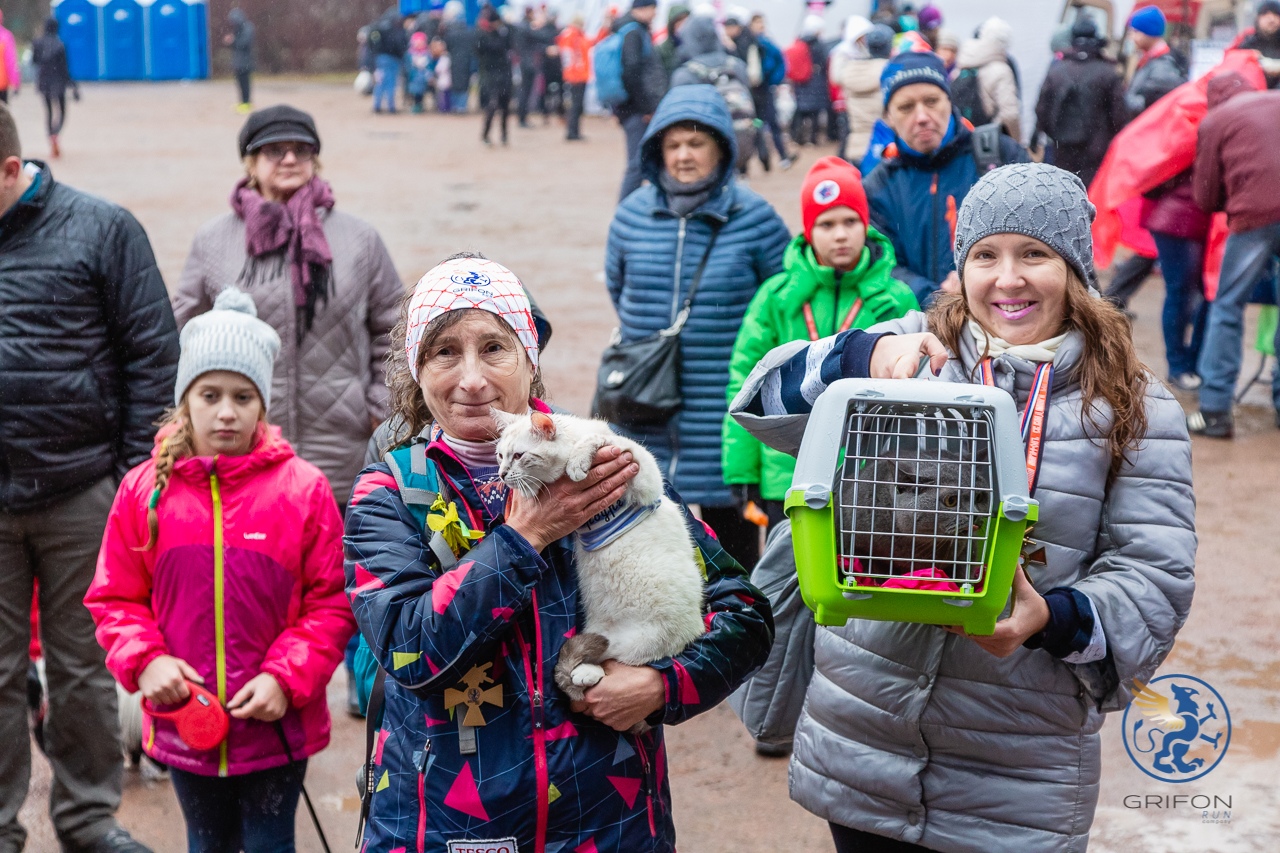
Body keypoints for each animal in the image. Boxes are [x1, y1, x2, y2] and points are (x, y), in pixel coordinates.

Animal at [491, 409, 711, 706]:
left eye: (518, 455)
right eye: (500, 455)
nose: (501, 475)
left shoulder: (643, 476)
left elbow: (603, 440)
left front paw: (577, 461)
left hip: (647, 640)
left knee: (626, 661)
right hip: (605, 634)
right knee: (605, 659)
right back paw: (585, 674)